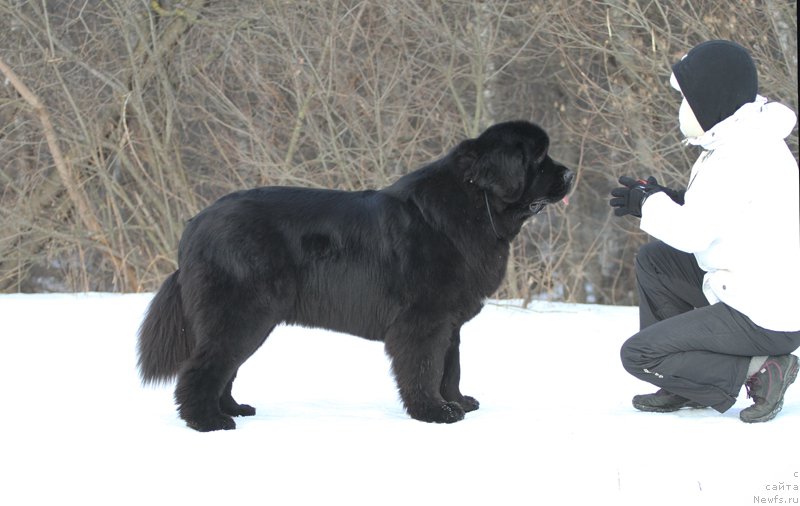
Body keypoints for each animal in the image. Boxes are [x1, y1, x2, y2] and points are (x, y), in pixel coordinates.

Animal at [139, 119, 576, 430]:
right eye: (539, 158)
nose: (572, 174)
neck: (474, 204)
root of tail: (194, 225)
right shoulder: (423, 320)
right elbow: (425, 368)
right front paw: (435, 413)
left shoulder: (449, 321)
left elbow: (450, 367)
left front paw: (458, 402)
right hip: (241, 313)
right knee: (204, 368)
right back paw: (207, 422)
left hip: (249, 320)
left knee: (225, 368)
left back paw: (233, 408)